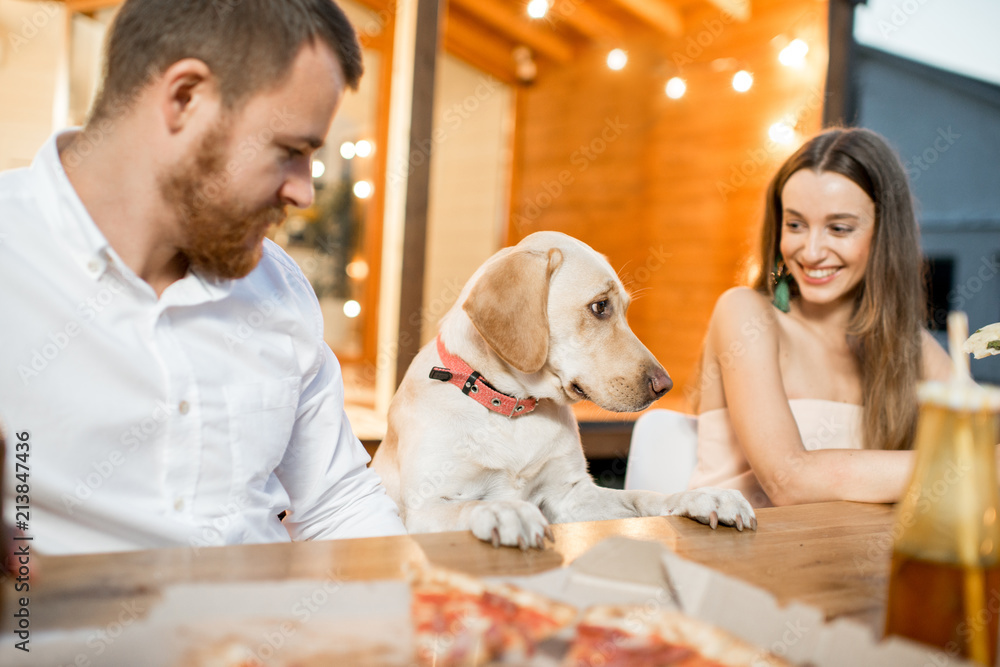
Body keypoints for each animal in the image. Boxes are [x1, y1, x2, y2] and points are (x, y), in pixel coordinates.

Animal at [372, 232, 752, 552]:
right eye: (600, 306)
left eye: (625, 309)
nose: (665, 386)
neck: (512, 409)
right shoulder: (426, 505)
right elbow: (468, 507)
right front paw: (504, 511)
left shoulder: (571, 496)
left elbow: (644, 496)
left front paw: (702, 497)